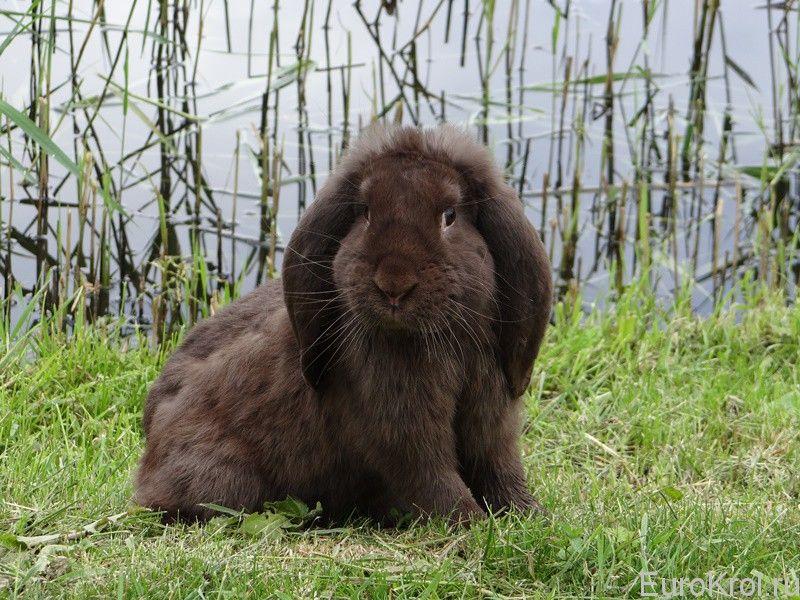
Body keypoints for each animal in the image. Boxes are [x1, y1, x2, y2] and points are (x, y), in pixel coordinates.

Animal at [134, 124, 552, 524]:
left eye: (449, 215)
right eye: (364, 212)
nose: (394, 285)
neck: (436, 341)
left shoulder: (491, 415)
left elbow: (497, 466)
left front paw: (528, 514)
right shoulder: (402, 433)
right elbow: (431, 477)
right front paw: (471, 522)